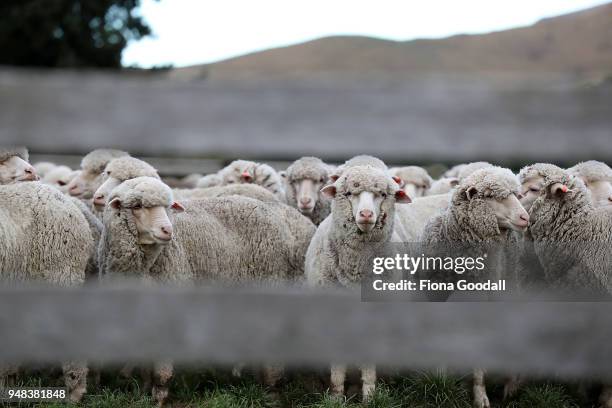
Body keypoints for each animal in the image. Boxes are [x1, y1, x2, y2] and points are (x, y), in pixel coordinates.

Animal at [306, 166, 412, 402]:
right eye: (349, 193)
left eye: (382, 194)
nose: (365, 215)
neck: (355, 271)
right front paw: (336, 396)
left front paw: (370, 396)